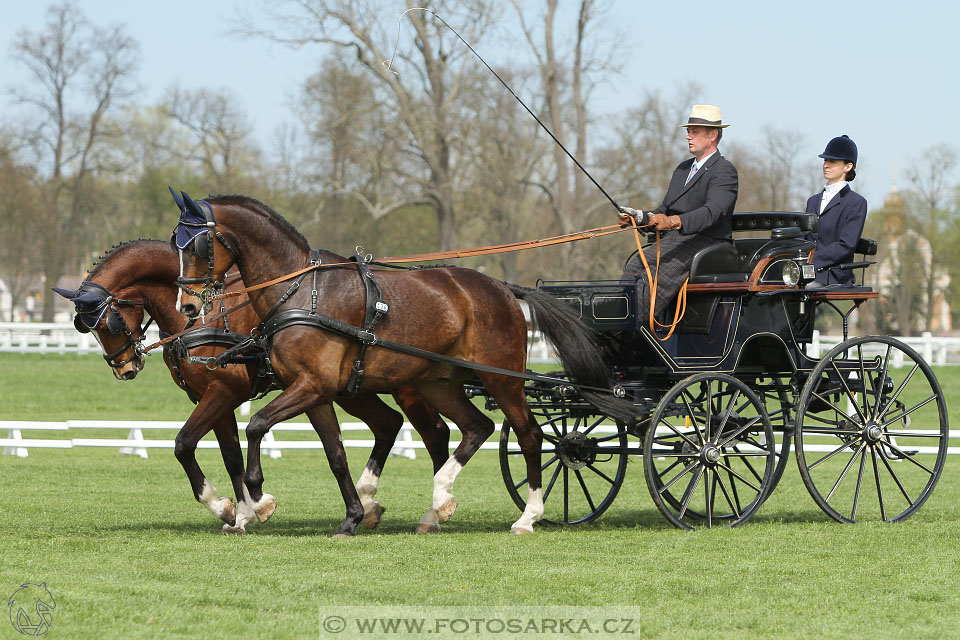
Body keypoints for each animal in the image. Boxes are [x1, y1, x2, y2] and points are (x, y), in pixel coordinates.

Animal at [53, 241, 454, 536]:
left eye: (109, 322)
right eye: (85, 327)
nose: (125, 368)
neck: (207, 314)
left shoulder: (225, 391)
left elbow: (184, 444)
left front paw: (225, 505)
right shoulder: (212, 397)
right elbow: (231, 456)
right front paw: (242, 512)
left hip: (404, 385)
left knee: (436, 432)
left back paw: (438, 507)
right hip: (348, 390)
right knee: (389, 424)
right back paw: (373, 506)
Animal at [171, 191, 616, 536]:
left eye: (196, 245)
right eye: (176, 243)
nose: (188, 306)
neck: (303, 292)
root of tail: (503, 288)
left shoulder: (312, 385)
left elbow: (257, 425)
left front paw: (259, 496)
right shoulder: (315, 391)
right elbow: (334, 454)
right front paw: (351, 517)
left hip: (501, 380)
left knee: (529, 435)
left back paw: (528, 516)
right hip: (438, 383)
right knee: (476, 428)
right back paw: (437, 503)